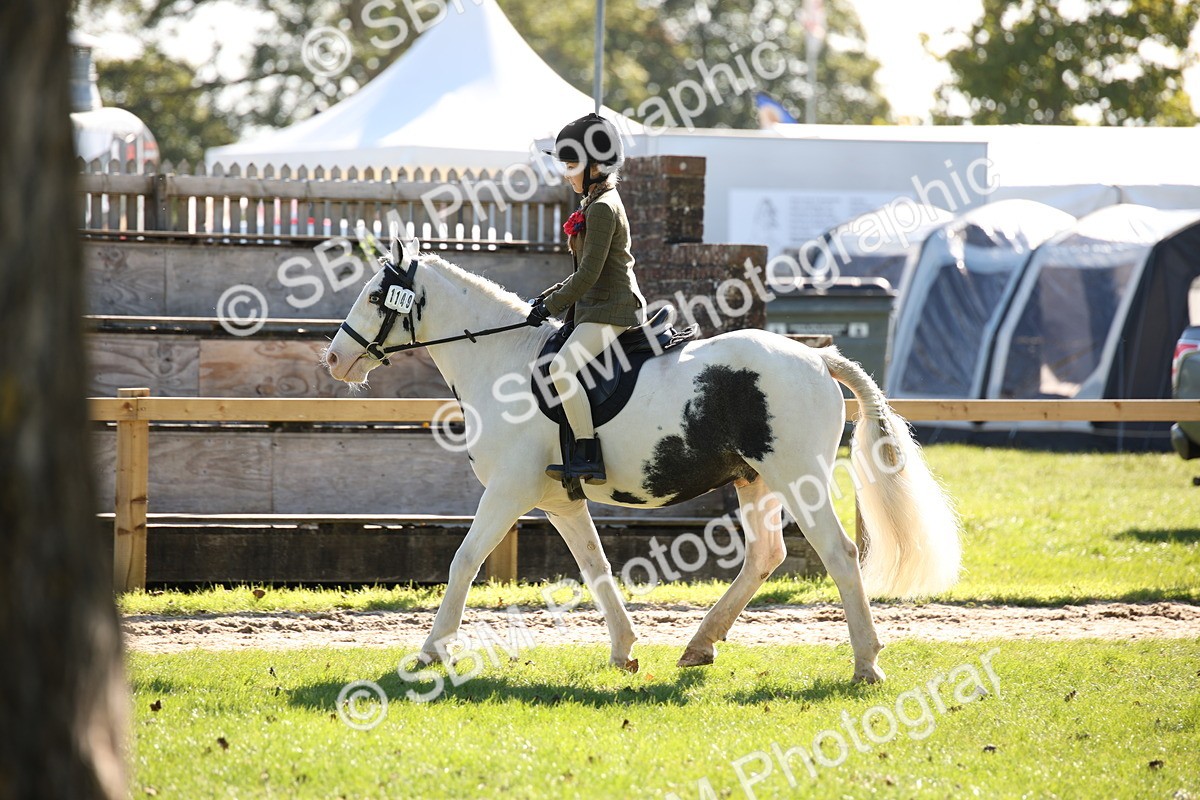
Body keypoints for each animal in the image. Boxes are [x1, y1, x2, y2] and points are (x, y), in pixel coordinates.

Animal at [322, 239, 961, 683]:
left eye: (376, 297)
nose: (332, 359)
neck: (503, 360)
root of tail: (816, 357)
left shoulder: (507, 491)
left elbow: (462, 563)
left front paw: (430, 651)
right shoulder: (559, 500)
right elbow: (597, 568)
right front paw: (625, 652)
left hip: (798, 479)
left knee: (839, 555)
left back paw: (866, 664)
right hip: (754, 481)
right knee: (765, 556)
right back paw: (699, 646)